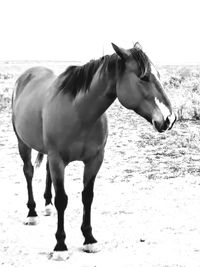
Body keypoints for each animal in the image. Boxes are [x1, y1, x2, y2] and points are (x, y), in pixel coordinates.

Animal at [11, 43, 176, 260]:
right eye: (144, 77)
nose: (169, 118)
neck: (78, 112)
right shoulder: (58, 160)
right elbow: (62, 199)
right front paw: (60, 246)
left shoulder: (94, 160)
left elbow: (87, 196)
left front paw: (89, 239)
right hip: (23, 143)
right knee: (28, 172)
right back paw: (32, 213)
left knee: (45, 172)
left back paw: (47, 205)